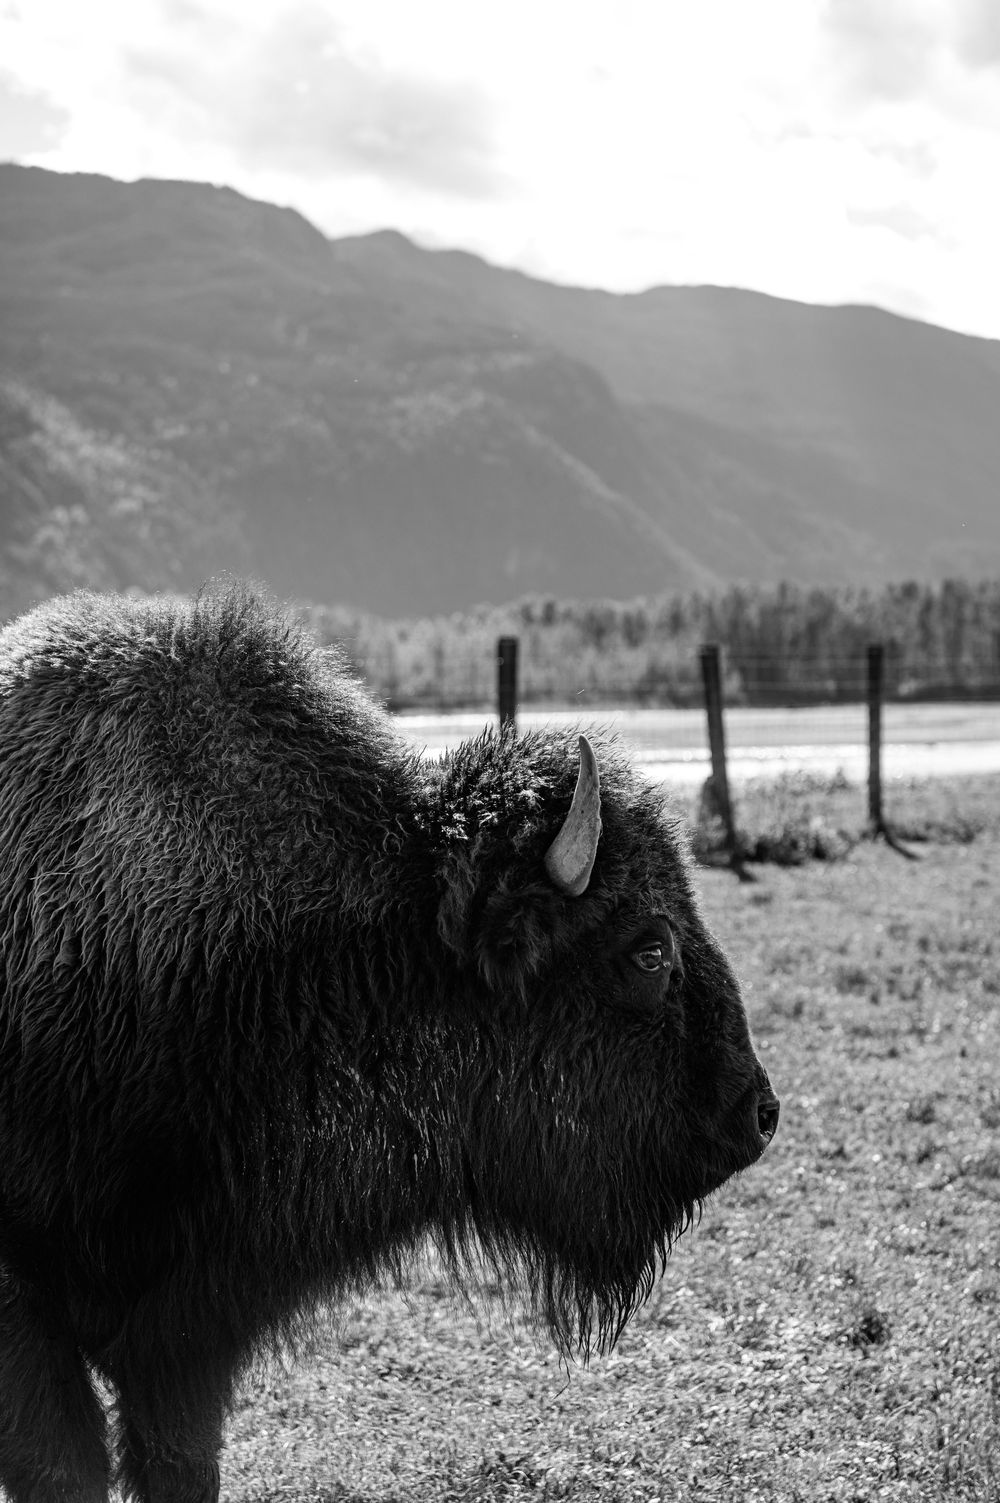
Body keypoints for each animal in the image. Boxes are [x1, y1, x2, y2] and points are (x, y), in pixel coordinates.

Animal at [0, 583, 778, 1503]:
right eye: (649, 949)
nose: (757, 1113)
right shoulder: (30, 1311)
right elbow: (62, 1467)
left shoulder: (189, 1327)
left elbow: (178, 1462)